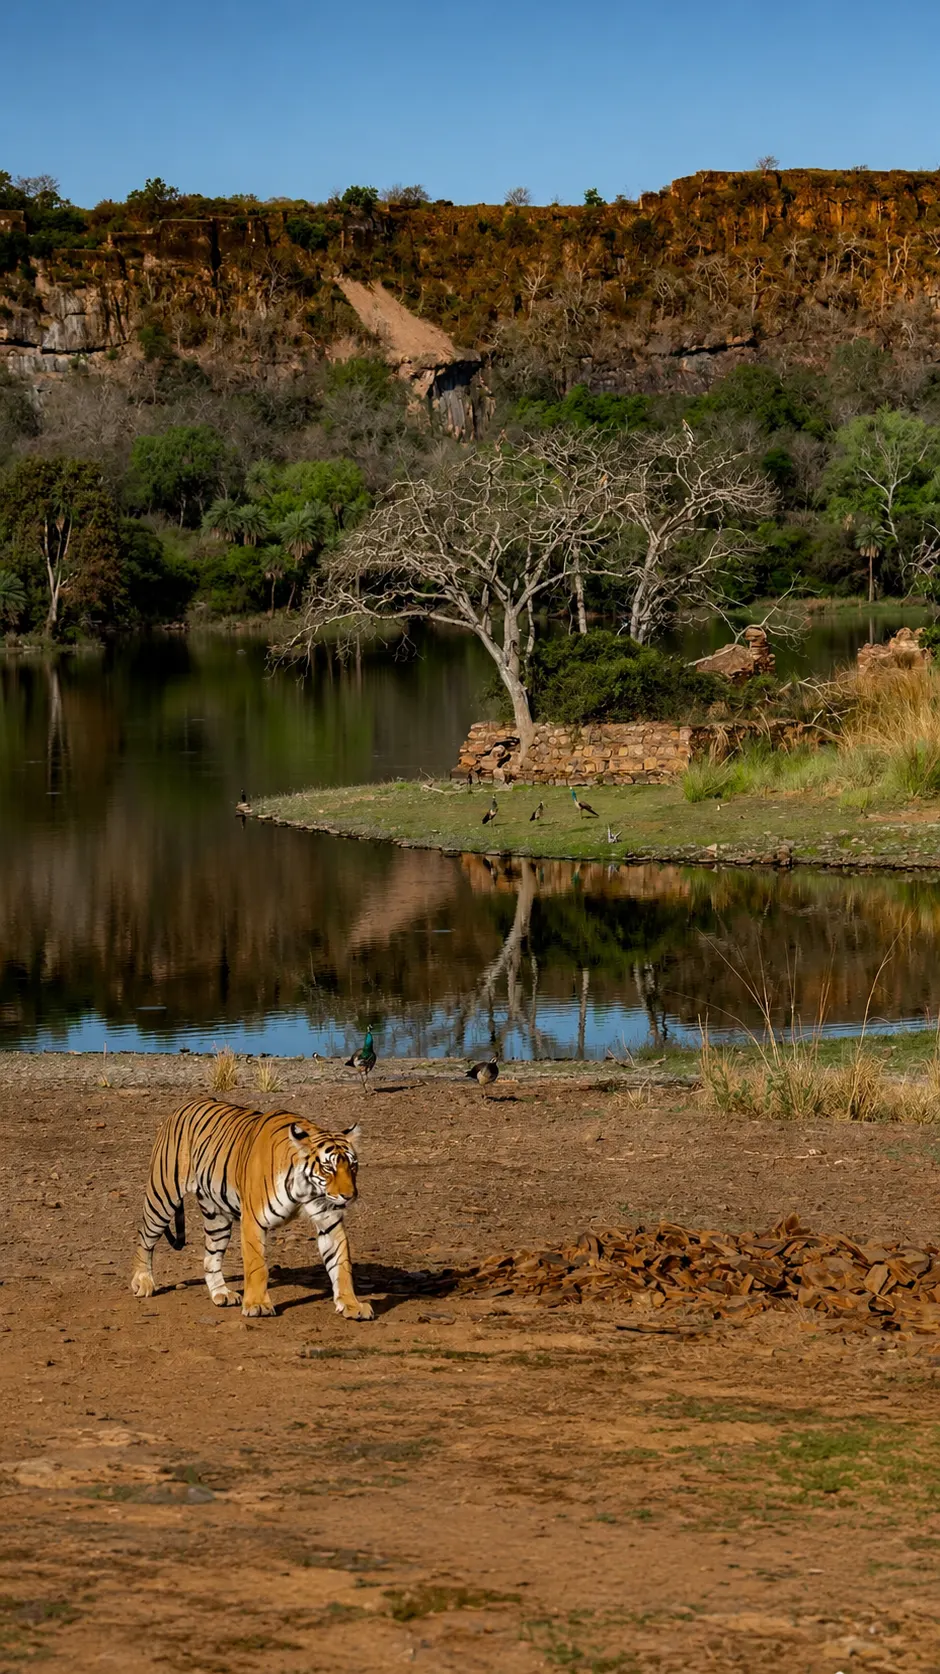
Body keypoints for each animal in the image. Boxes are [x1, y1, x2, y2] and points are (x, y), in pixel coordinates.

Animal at [130, 1099, 374, 1321]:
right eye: (328, 1168)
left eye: (352, 1165)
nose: (349, 1196)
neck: (306, 1189)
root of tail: (182, 1106)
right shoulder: (253, 1221)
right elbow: (257, 1265)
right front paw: (257, 1305)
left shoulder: (329, 1221)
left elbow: (341, 1265)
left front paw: (352, 1305)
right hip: (163, 1195)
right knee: (145, 1238)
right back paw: (143, 1282)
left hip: (217, 1217)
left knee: (211, 1257)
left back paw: (221, 1293)